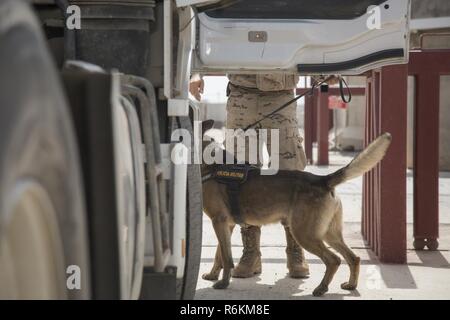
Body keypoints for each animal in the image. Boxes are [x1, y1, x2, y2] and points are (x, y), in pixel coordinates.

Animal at [200, 121, 390, 296]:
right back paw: (351, 285)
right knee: (353, 257)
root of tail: (323, 180)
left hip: (304, 233)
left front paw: (223, 283)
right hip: (329, 234)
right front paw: (212, 275)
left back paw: (321, 288)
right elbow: (219, 254)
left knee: (334, 260)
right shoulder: (227, 225)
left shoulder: (219, 221)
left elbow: (226, 257)